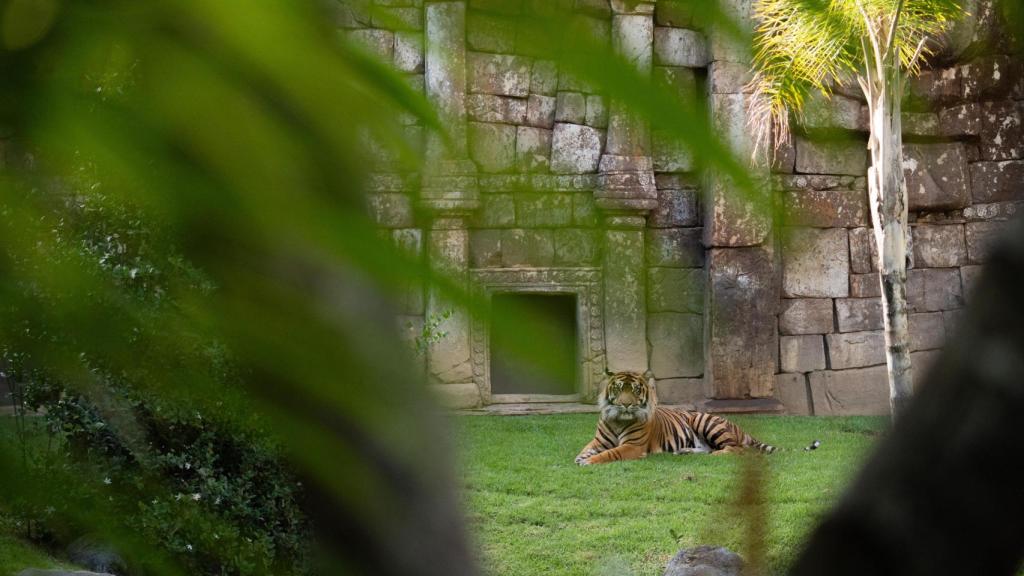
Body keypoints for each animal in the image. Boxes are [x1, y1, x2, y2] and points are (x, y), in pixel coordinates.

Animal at [575, 370, 777, 465]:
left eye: (635, 390)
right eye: (618, 389)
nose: (625, 404)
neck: (618, 420)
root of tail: (739, 428)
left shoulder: (633, 446)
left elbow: (610, 453)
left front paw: (589, 461)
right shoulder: (598, 441)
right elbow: (587, 448)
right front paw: (581, 457)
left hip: (704, 421)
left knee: (736, 449)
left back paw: (716, 454)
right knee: (708, 449)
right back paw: (684, 451)